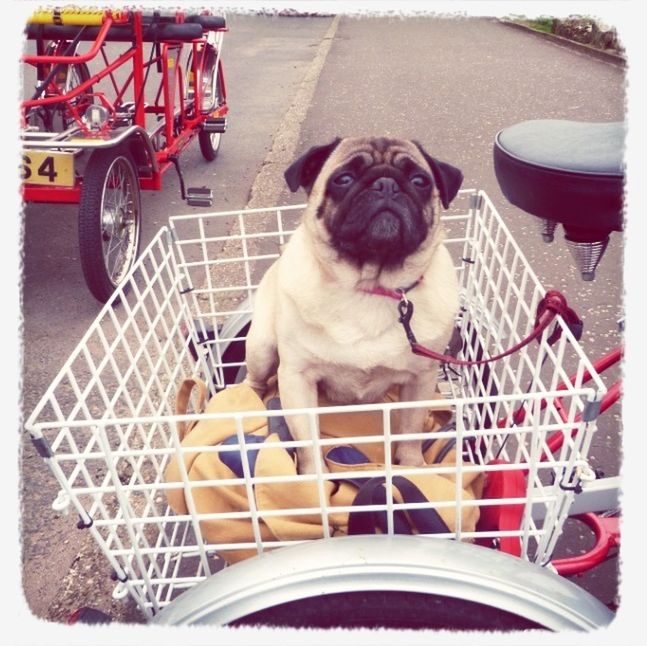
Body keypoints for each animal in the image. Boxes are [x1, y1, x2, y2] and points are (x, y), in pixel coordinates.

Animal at [246, 137, 464, 474]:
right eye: (344, 179)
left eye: (419, 181)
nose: (387, 184)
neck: (369, 286)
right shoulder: (297, 377)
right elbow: (308, 441)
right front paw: (315, 478)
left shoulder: (421, 380)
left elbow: (411, 430)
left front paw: (412, 466)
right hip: (262, 349)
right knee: (253, 381)